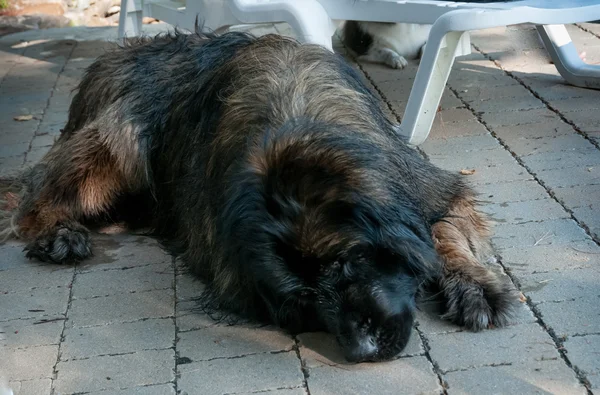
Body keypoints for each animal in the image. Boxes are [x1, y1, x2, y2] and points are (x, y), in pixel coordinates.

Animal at [1, 28, 516, 362]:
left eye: (347, 263)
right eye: (304, 302)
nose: (362, 350)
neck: (292, 123)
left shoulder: (426, 187)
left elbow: (447, 231)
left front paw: (475, 286)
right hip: (119, 138)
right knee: (35, 198)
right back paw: (57, 234)